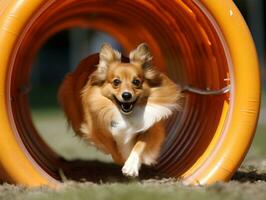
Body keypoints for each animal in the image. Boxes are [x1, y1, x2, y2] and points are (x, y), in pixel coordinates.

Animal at [58, 42, 182, 177]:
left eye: (136, 82)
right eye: (116, 82)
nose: (126, 95)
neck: (126, 115)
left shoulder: (151, 127)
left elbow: (140, 144)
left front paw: (131, 166)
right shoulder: (96, 130)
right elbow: (112, 145)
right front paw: (123, 158)